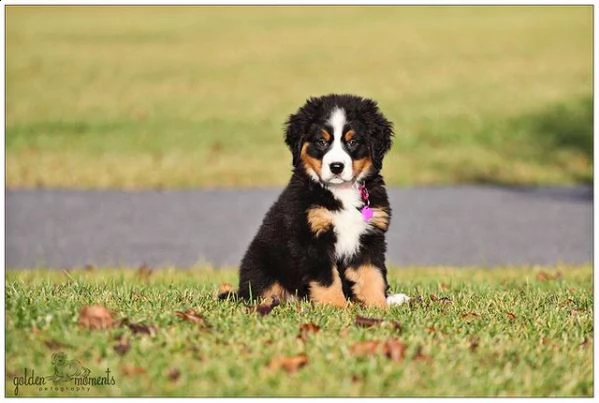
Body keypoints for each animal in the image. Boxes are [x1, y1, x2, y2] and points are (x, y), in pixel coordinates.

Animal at [223, 94, 406, 310]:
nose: (336, 167)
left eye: (352, 142)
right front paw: (336, 308)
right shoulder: (311, 238)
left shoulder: (369, 237)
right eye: (321, 141)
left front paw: (378, 306)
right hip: (262, 264)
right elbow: (327, 279)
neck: (341, 192)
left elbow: (372, 275)